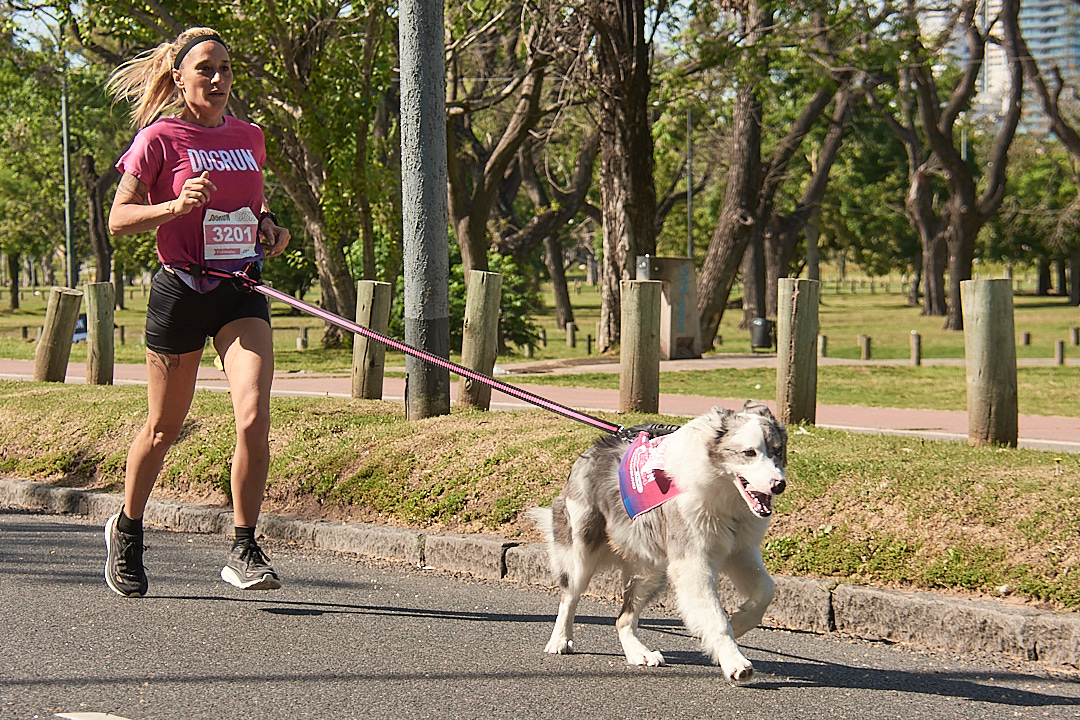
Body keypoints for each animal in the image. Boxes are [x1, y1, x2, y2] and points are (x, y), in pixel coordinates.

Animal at [529, 403, 786, 686]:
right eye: (749, 453)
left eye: (777, 451)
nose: (779, 485)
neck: (723, 491)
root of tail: (595, 447)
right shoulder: (693, 562)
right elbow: (716, 618)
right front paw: (734, 661)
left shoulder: (741, 552)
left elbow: (766, 590)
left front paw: (739, 622)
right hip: (581, 555)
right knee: (569, 597)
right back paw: (559, 640)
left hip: (650, 571)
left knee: (623, 619)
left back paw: (638, 653)